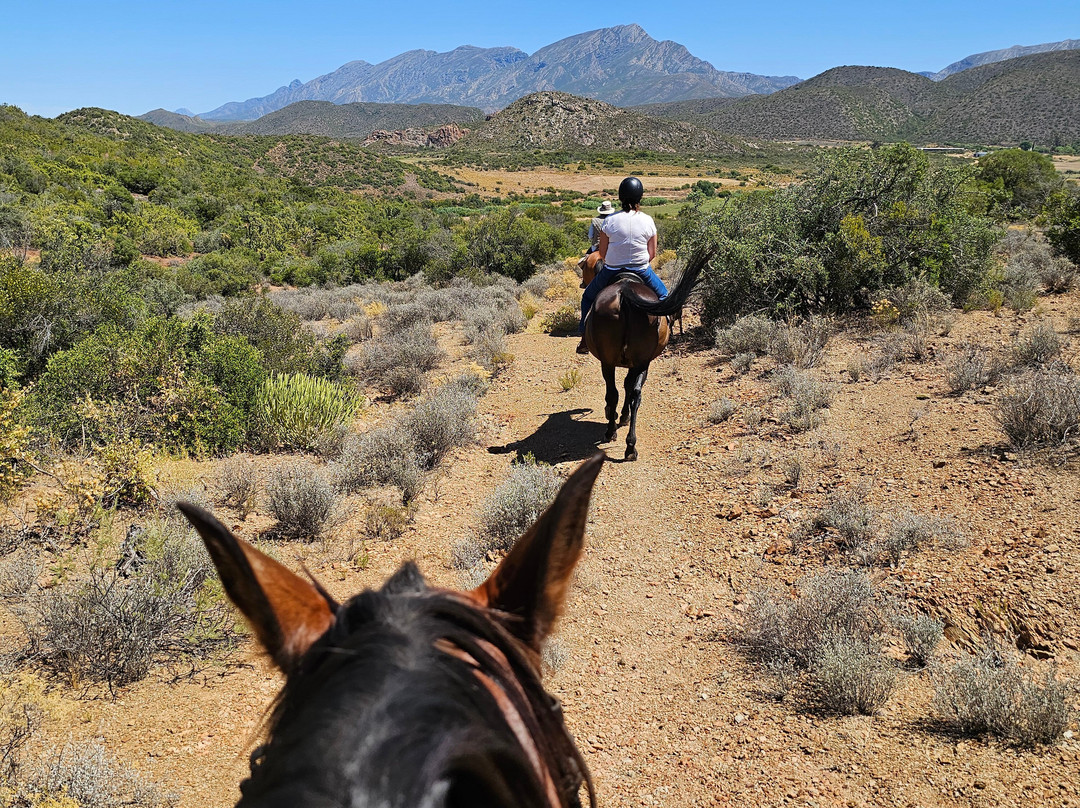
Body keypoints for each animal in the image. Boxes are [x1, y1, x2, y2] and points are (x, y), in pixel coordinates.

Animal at [581, 249, 710, 461]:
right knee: (634, 394)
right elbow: (628, 387)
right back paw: (630, 446)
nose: (583, 283)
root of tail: (625, 291)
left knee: (616, 393)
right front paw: (621, 416)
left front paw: (618, 416)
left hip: (612, 362)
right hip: (641, 361)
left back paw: (613, 432)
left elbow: (623, 387)